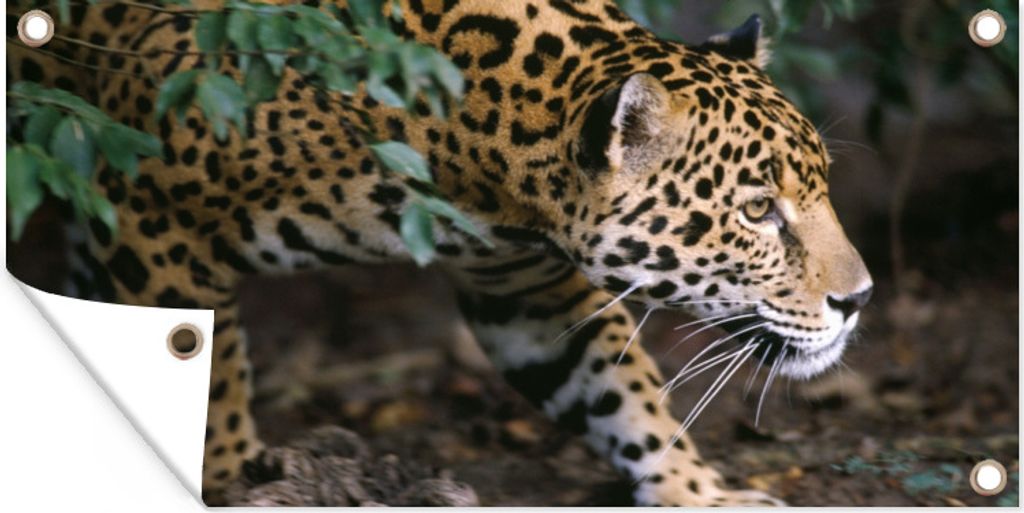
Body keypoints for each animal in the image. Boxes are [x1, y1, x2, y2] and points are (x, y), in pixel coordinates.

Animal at [7, 0, 873, 506]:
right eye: (757, 211)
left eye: (823, 186)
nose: (859, 298)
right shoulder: (149, 216)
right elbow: (210, 385)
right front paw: (225, 480)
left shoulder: (525, 288)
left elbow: (620, 390)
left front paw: (699, 492)